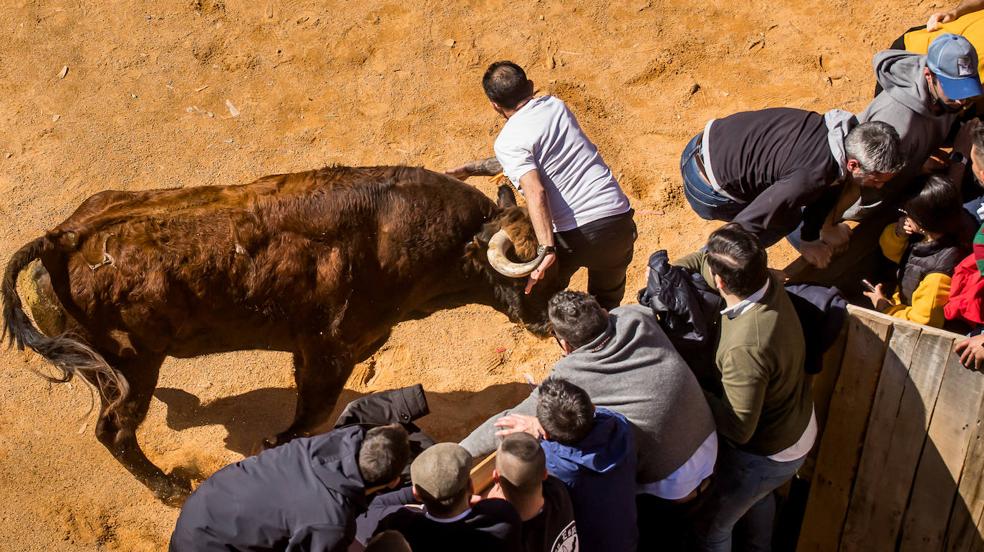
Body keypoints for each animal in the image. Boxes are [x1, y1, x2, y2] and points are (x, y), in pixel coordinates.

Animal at [0, 165, 556, 504]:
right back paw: (174, 491)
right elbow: (311, 414)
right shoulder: (329, 351)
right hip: (136, 365)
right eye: (528, 269)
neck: (395, 232)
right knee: (115, 430)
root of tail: (63, 239)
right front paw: (277, 445)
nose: (550, 319)